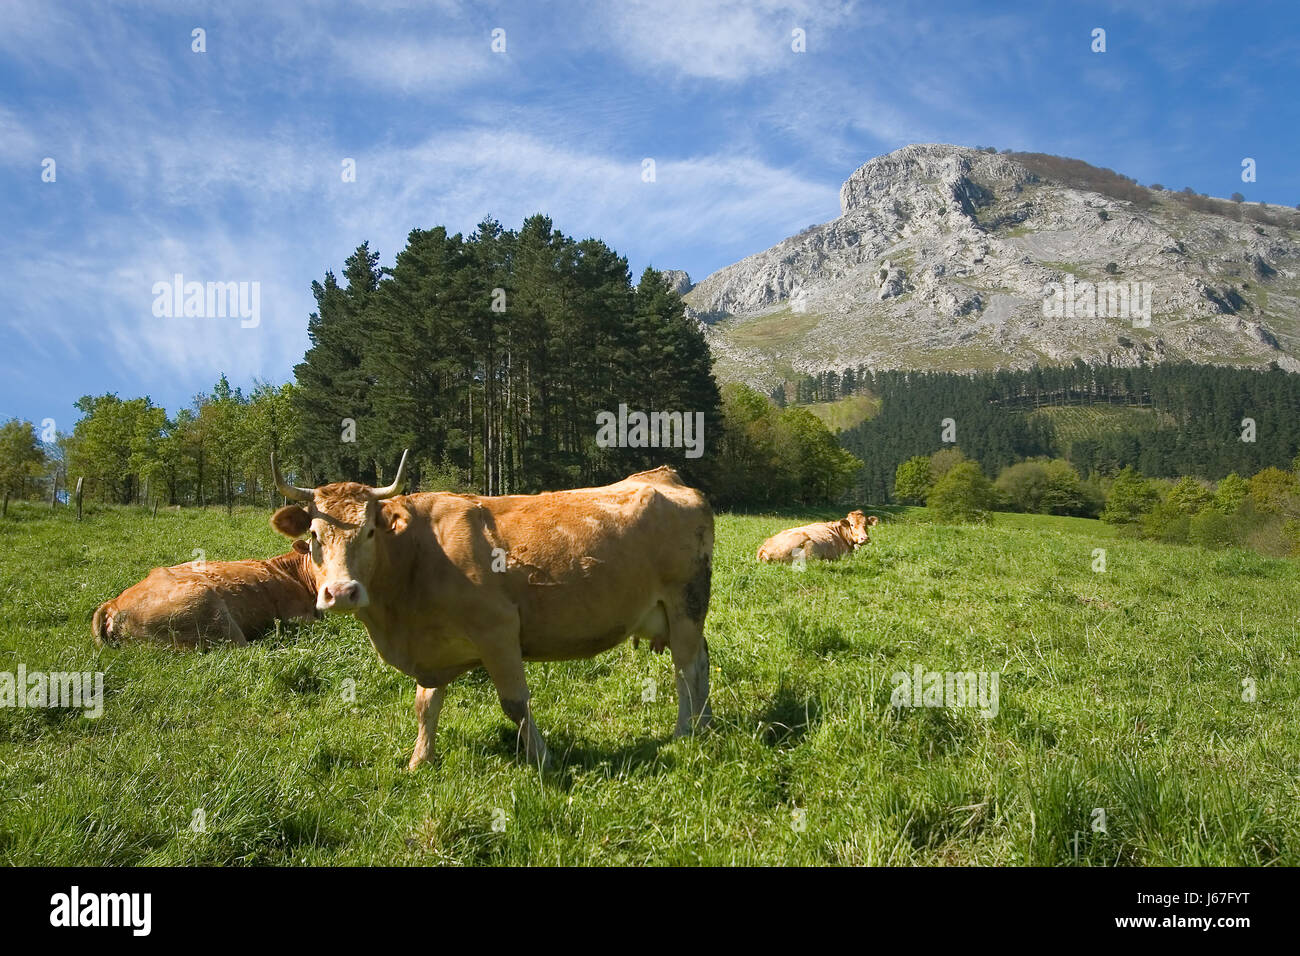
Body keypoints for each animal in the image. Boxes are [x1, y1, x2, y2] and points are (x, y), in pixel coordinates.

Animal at [269, 451, 714, 771]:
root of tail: (662, 476)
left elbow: (515, 703)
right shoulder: (435, 648)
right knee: (702, 660)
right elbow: (425, 705)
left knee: (686, 669)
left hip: (685, 602)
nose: (342, 592)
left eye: (370, 531)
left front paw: (542, 758)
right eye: (314, 535)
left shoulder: (497, 630)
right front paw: (419, 760)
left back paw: (685, 731)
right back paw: (705, 723)